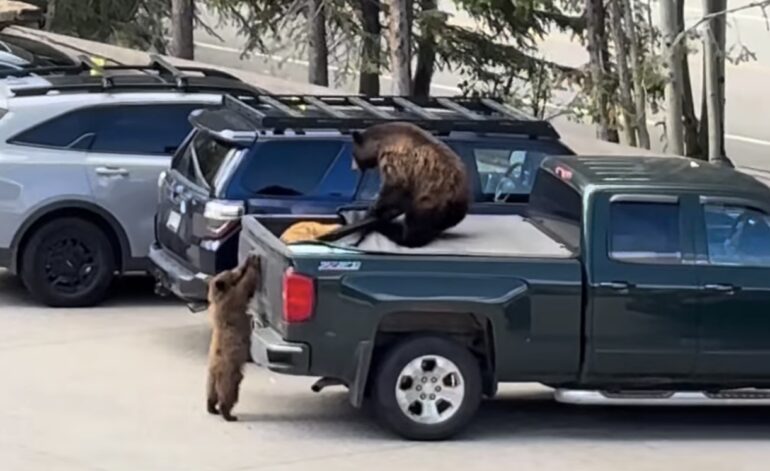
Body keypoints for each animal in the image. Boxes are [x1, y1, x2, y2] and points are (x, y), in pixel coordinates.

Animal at [206, 253, 261, 422]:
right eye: (231, 272)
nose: (239, 266)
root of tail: (217, 371)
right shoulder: (232, 300)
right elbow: (246, 286)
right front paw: (254, 262)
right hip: (229, 374)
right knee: (228, 394)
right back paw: (229, 414)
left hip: (211, 378)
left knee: (211, 394)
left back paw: (212, 408)